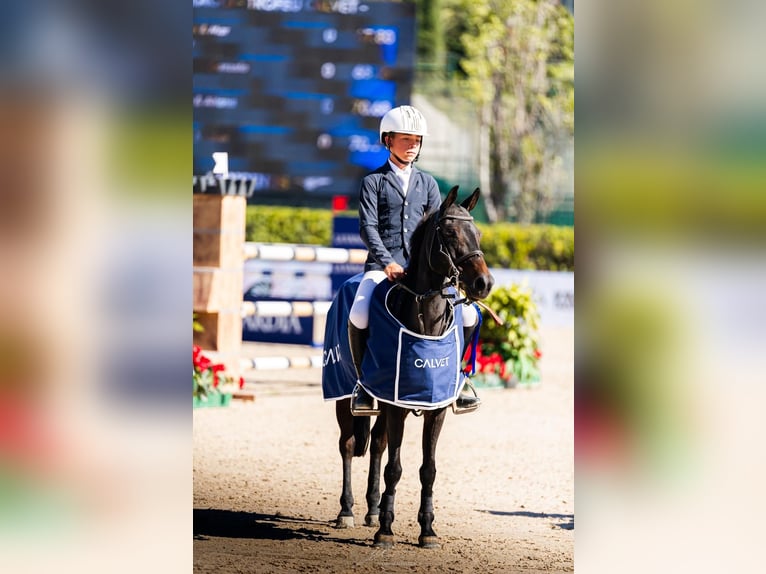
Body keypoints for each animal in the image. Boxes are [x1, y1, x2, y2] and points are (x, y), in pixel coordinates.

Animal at [320, 187, 496, 552]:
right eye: (449, 233)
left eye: (478, 233)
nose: (483, 284)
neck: (426, 319)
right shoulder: (396, 406)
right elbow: (395, 468)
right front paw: (386, 532)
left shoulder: (435, 408)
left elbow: (427, 469)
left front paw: (427, 531)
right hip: (344, 395)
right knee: (348, 444)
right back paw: (348, 512)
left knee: (376, 444)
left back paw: (373, 510)